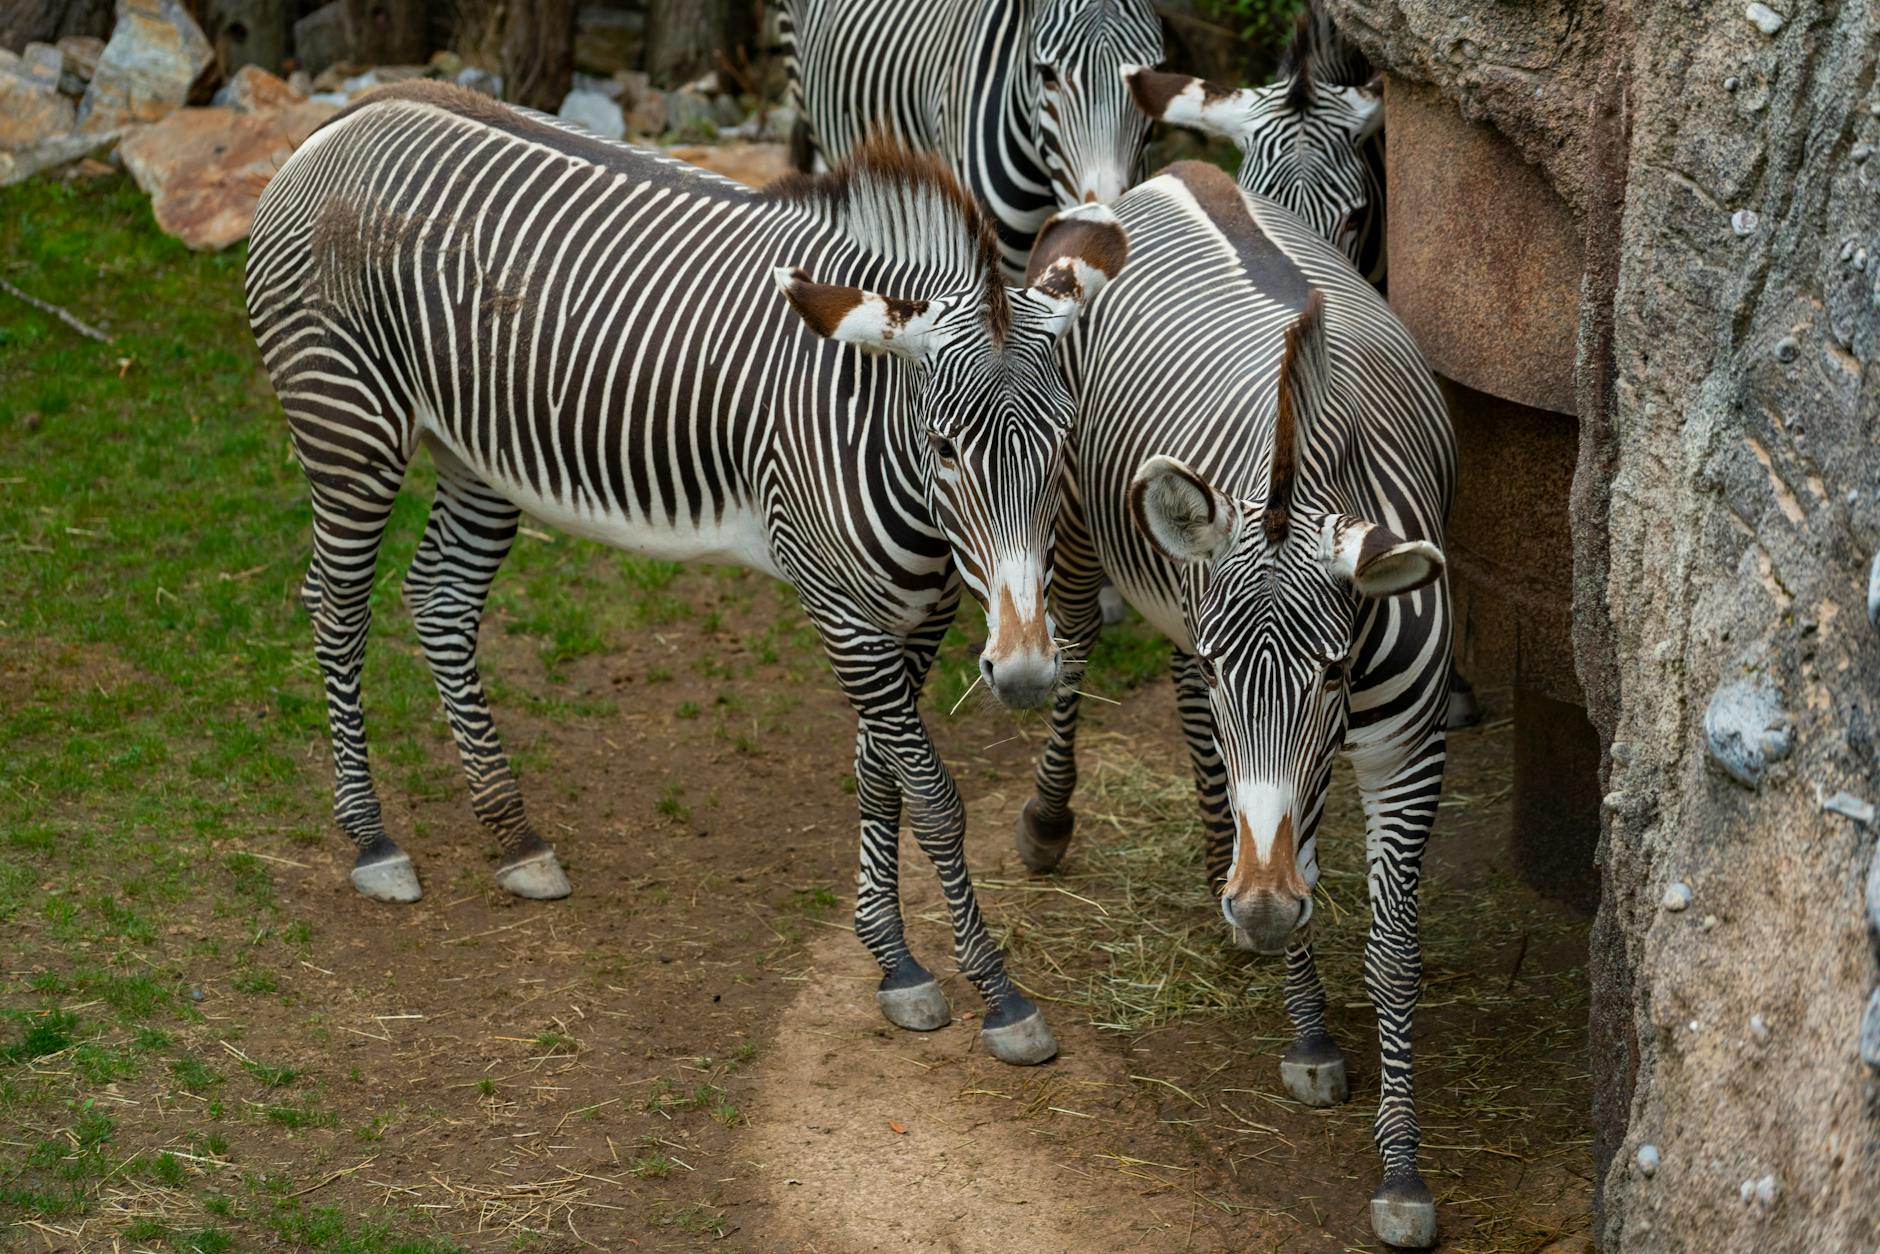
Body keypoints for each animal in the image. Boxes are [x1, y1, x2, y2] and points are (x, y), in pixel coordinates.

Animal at [245, 81, 1129, 1066]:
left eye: (1063, 447)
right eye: (942, 448)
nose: (1027, 676)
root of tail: (353, 116)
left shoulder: (915, 619)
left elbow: (880, 776)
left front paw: (894, 961)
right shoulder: (843, 611)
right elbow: (934, 796)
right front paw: (998, 995)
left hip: (477, 455)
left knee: (439, 599)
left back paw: (512, 834)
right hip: (347, 433)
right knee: (335, 610)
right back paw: (372, 839)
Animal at [1021, 160, 1452, 1247]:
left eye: (1334, 673)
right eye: (1231, 672)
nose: (1254, 910)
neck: (1294, 472)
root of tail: (1180, 172)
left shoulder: (1407, 747)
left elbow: (1392, 950)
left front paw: (1401, 1174)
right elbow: (1289, 855)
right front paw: (1307, 1033)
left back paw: (1217, 844)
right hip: (1078, 517)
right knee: (1080, 638)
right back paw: (1050, 820)